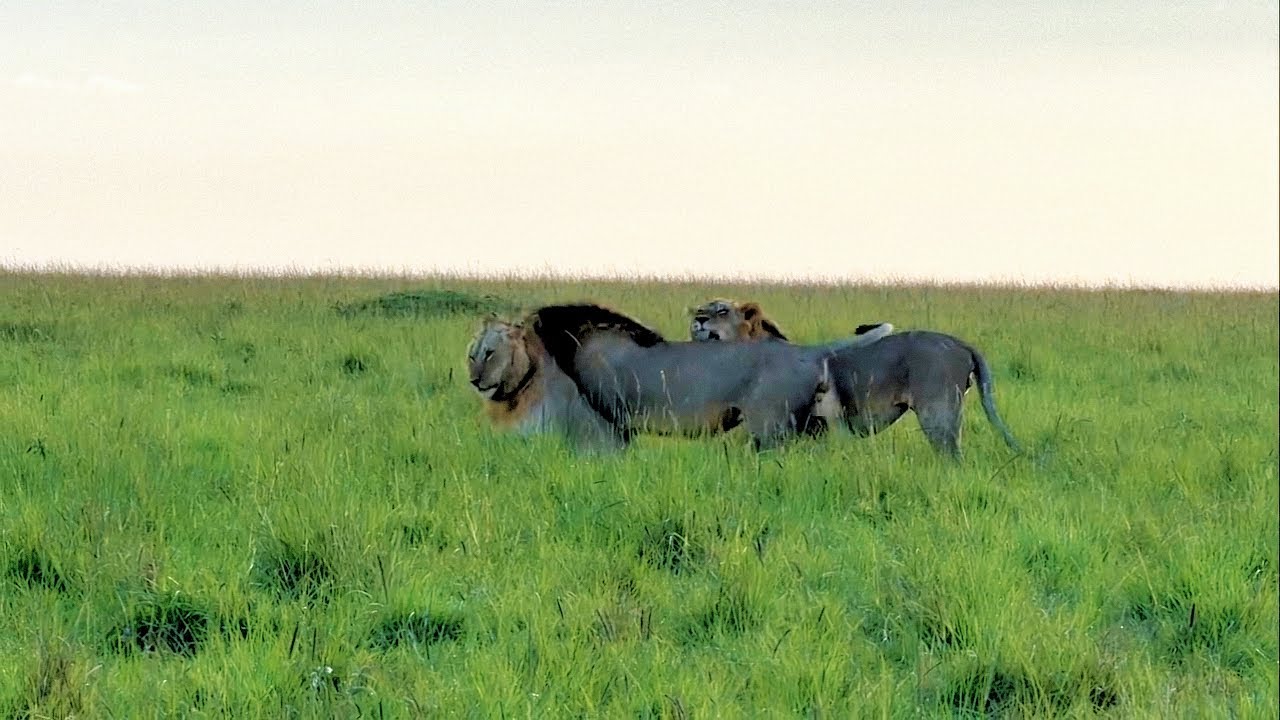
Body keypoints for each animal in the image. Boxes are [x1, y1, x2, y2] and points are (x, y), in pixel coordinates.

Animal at [688, 298, 1021, 458]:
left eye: (721, 310)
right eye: (700, 309)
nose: (698, 320)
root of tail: (960, 343)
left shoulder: (823, 428)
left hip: (938, 414)